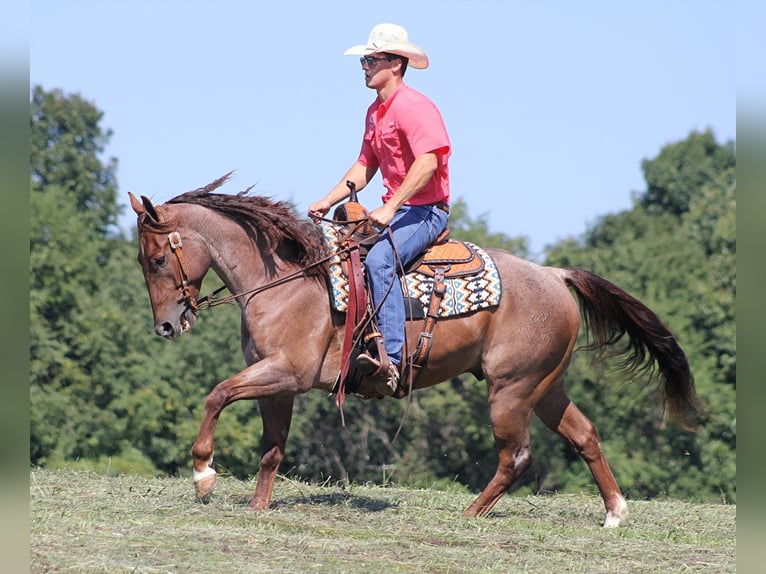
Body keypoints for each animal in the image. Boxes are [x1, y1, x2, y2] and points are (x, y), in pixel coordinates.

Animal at [129, 173, 700, 528]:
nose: (165, 325)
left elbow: (216, 394)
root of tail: (555, 275)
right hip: (545, 387)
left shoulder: (286, 373)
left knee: (516, 455)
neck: (287, 280)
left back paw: (472, 514)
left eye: (156, 259)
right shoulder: (277, 384)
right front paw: (256, 506)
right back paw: (614, 513)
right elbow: (271, 447)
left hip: (511, 390)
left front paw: (203, 474)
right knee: (584, 436)